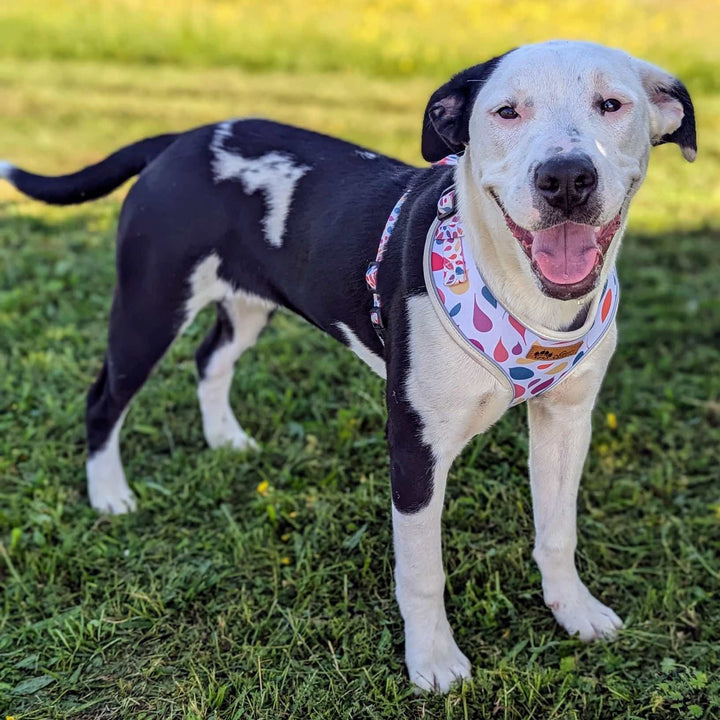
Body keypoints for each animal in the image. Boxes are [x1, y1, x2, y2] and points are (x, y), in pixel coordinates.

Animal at [2, 39, 696, 692]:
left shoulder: (567, 420)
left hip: (247, 303)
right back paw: (109, 494)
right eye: (506, 111)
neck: (524, 297)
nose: (567, 177)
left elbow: (558, 531)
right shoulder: (415, 446)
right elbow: (422, 570)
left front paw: (573, 610)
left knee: (210, 358)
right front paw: (433, 661)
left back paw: (225, 438)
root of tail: (183, 140)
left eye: (612, 104)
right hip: (149, 309)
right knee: (104, 399)